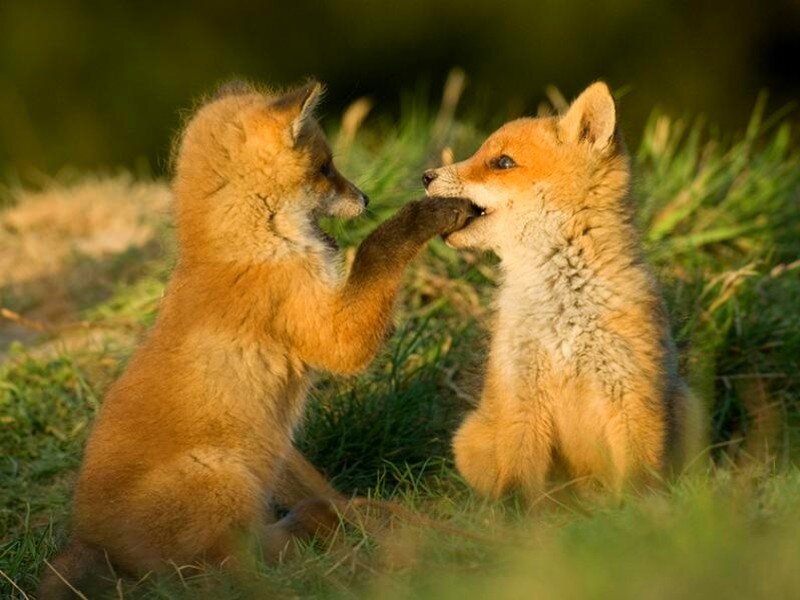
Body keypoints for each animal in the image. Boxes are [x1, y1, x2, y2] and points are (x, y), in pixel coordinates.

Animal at [38, 80, 475, 598]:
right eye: (325, 168)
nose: (367, 198)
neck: (248, 244)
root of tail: (90, 541)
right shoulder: (329, 334)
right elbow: (376, 252)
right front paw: (425, 215)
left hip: (271, 460)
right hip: (223, 479)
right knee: (231, 571)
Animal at [423, 82, 705, 501]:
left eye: (502, 162)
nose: (426, 176)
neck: (564, 314)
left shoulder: (632, 393)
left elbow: (639, 481)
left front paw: (638, 513)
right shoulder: (521, 393)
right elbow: (519, 482)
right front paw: (514, 517)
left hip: (688, 411)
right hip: (471, 437)